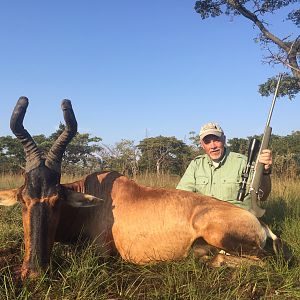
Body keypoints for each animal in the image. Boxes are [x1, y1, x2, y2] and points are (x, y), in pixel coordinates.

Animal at [1, 98, 280, 278]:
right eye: (24, 200)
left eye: (56, 200)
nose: (33, 272)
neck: (99, 197)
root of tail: (259, 223)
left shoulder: (102, 252)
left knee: (266, 261)